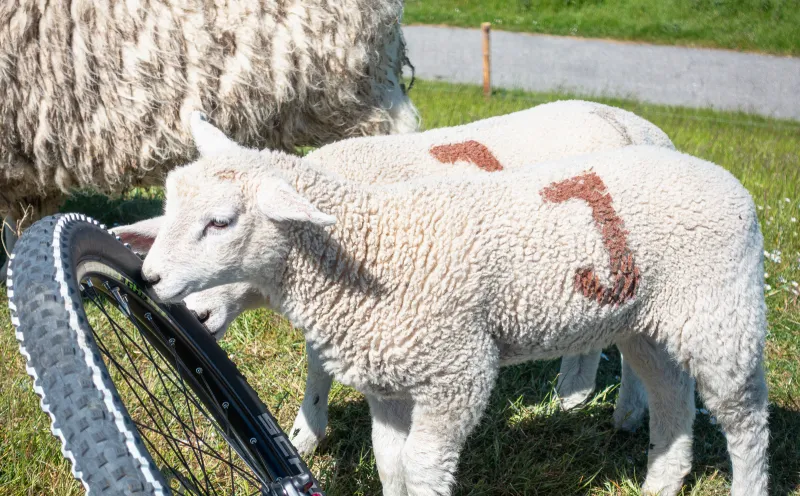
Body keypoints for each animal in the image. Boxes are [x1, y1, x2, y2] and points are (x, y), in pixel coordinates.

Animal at [119, 115, 769, 496]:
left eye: (221, 222)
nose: (151, 280)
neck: (375, 243)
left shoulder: (456, 374)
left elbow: (424, 467)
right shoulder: (388, 382)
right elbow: (392, 464)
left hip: (723, 317)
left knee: (746, 422)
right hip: (648, 321)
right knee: (671, 396)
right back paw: (657, 472)